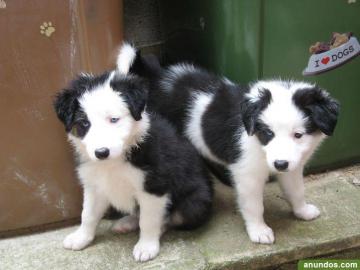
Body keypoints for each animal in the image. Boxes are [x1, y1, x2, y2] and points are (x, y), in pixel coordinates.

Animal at [52, 44, 212, 262]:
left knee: (170, 218)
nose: (101, 152)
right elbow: (88, 215)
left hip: (195, 203)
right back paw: (126, 222)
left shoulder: (154, 188)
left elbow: (149, 220)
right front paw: (81, 238)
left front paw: (146, 247)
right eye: (84, 123)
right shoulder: (94, 185)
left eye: (114, 119)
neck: (114, 161)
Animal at [145, 61, 338, 245]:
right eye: (269, 133)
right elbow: (254, 205)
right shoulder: (247, 173)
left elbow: (296, 190)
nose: (280, 164)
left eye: (298, 135)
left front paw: (302, 211)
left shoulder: (293, 167)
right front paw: (259, 230)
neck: (259, 145)